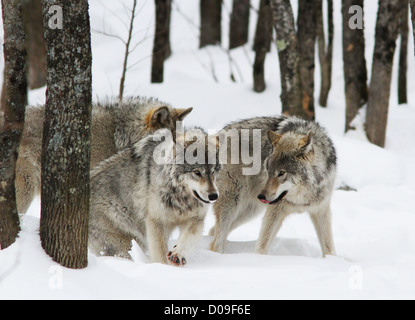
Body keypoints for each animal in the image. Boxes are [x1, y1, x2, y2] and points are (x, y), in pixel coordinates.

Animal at [89, 127, 223, 264]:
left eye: (213, 171)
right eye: (197, 172)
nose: (214, 196)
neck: (181, 198)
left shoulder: (196, 219)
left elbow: (188, 239)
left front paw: (178, 254)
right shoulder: (157, 221)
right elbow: (160, 253)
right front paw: (162, 266)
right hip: (126, 244)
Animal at [211, 117, 338, 258]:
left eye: (281, 173)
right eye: (268, 170)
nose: (261, 196)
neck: (301, 198)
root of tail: (219, 134)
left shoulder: (322, 210)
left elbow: (329, 249)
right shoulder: (275, 211)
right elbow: (262, 247)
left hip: (250, 211)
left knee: (213, 232)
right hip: (232, 204)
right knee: (216, 243)